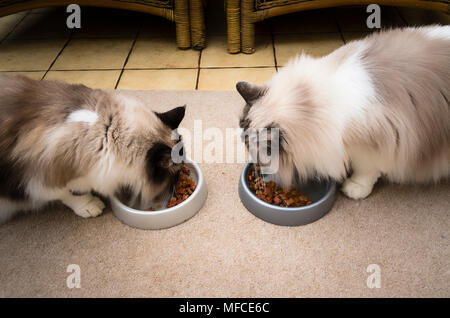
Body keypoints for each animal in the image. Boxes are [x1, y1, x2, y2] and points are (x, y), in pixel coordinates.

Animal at [0, 74, 185, 224]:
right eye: (175, 175)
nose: (176, 186)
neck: (107, 132)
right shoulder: (36, 180)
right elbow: (65, 193)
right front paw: (90, 205)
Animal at [237, 26, 448, 199]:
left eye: (253, 149)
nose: (257, 168)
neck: (314, 103)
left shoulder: (376, 143)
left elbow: (367, 169)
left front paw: (354, 188)